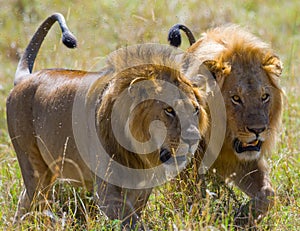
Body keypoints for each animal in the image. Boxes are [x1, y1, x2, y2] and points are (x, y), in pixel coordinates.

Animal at [169, 24, 284, 221]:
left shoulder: (243, 159)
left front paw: (246, 213)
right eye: (236, 98)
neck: (222, 139)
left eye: (264, 97)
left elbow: (268, 194)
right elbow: (192, 197)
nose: (258, 130)